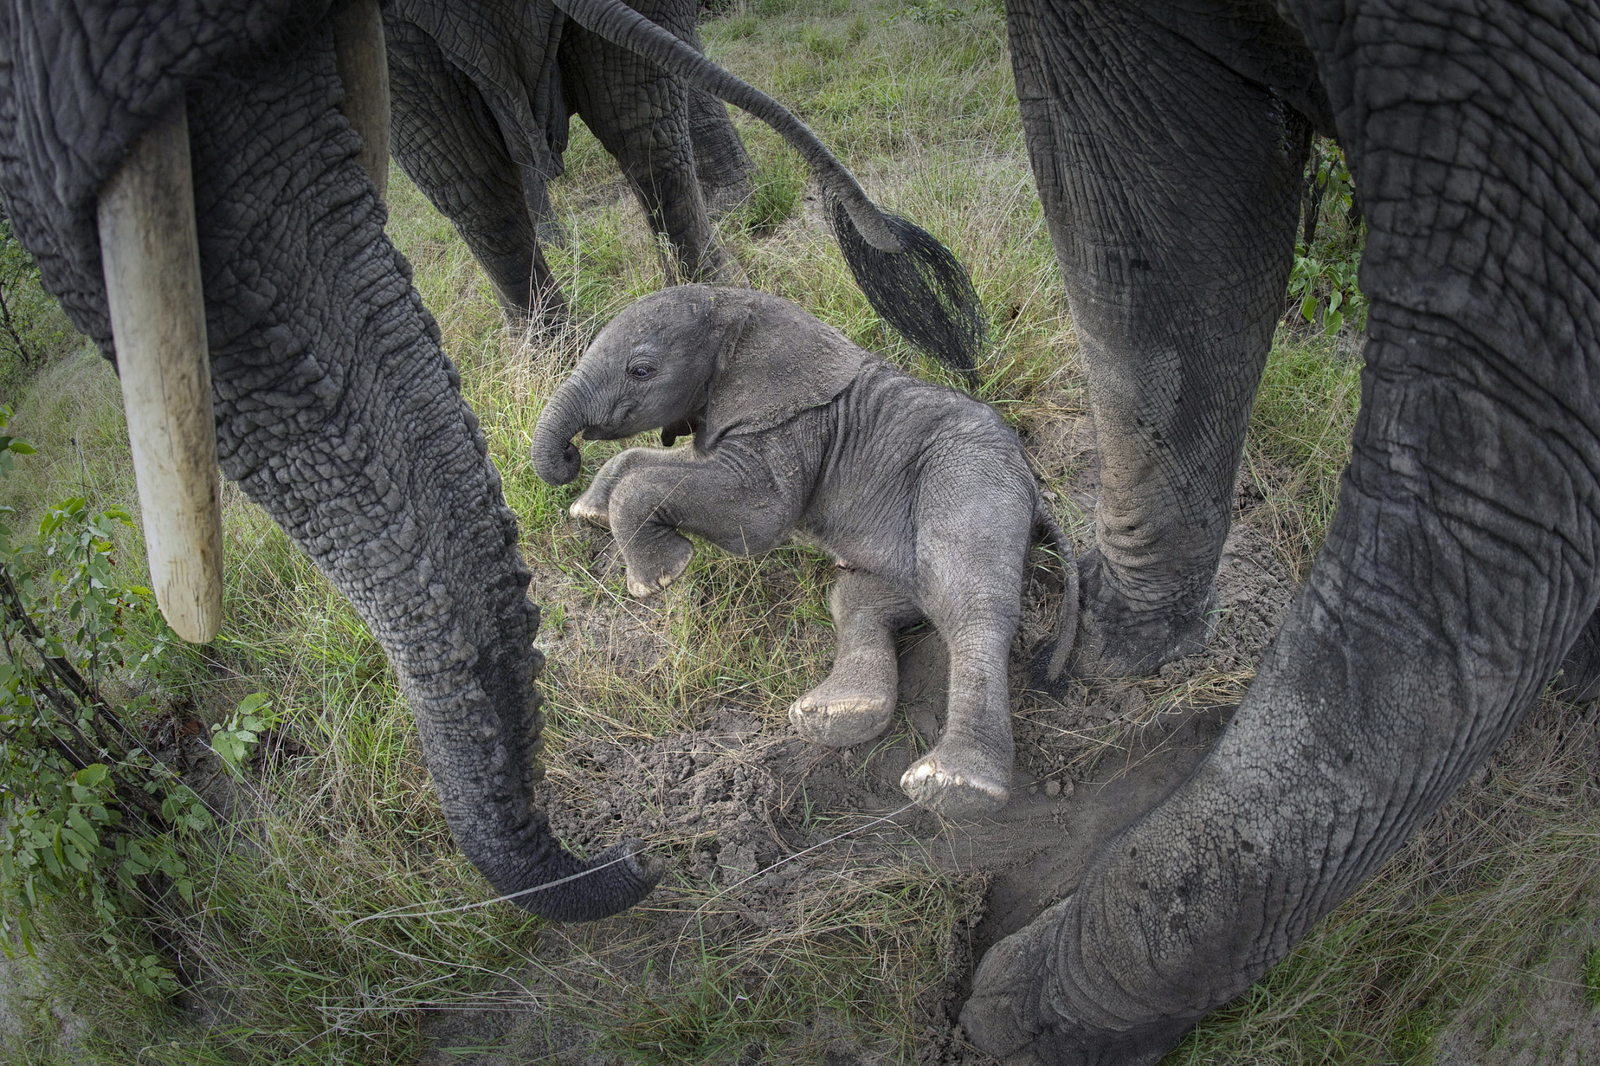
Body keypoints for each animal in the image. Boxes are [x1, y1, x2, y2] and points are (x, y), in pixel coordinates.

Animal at [529, 284, 1078, 819]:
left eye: (641, 370)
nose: (569, 453)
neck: (736, 306)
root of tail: (1034, 486)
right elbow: (650, 460)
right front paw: (588, 513)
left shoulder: (792, 428)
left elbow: (753, 515)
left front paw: (658, 578)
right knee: (858, 600)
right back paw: (836, 717)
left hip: (971, 476)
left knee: (969, 605)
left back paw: (953, 786)